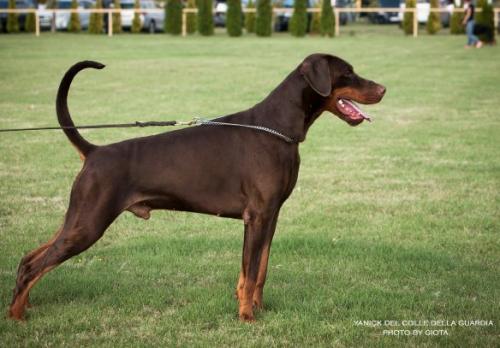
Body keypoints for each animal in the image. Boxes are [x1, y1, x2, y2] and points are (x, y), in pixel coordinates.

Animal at [8, 53, 386, 322]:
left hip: (77, 218)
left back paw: (24, 307)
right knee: (36, 266)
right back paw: (16, 317)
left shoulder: (271, 216)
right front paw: (247, 317)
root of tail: (95, 151)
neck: (277, 127)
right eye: (347, 72)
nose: (383, 89)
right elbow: (250, 272)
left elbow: (259, 270)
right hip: (89, 223)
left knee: (29, 258)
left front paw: (258, 309)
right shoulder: (256, 216)